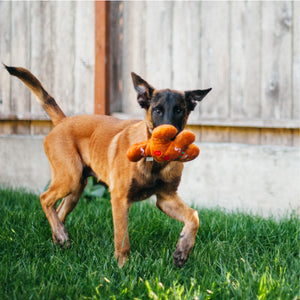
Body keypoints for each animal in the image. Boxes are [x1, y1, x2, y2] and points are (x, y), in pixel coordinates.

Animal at [4, 65, 211, 268]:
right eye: (157, 110)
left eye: (179, 110)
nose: (170, 137)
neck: (154, 163)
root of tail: (63, 121)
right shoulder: (119, 199)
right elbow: (122, 238)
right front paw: (122, 269)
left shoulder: (166, 198)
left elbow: (194, 217)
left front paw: (182, 250)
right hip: (70, 178)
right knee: (45, 199)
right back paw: (61, 235)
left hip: (77, 187)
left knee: (59, 210)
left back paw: (60, 240)